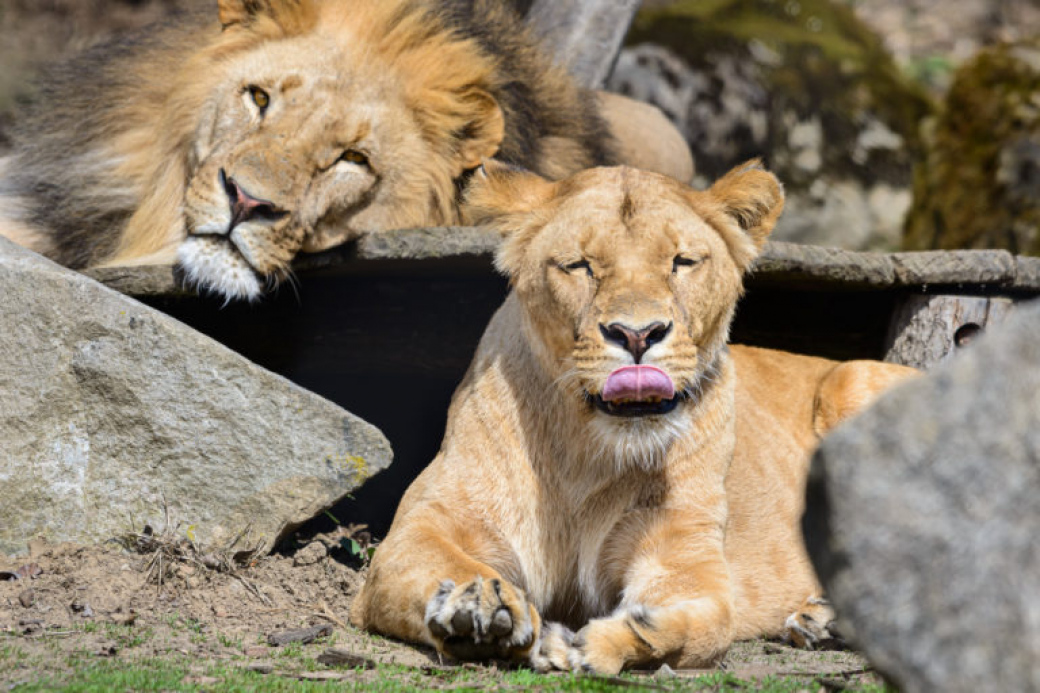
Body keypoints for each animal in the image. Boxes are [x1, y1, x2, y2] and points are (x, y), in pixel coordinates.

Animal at [351, 160, 919, 670]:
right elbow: (438, 560)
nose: (638, 334)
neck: (587, 453)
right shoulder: (426, 524)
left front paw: (604, 641)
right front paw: (480, 606)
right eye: (579, 265)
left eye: (682, 261)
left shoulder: (687, 556)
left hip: (852, 381)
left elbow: (704, 624)